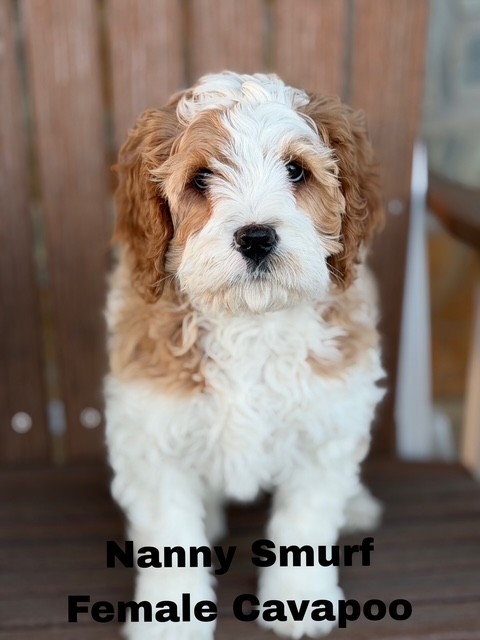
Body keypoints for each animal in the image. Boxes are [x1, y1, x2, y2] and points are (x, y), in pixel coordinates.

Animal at [105, 71, 385, 639]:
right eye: (201, 179)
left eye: (296, 170)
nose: (257, 237)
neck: (251, 321)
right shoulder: (151, 435)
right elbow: (169, 532)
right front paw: (171, 616)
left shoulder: (326, 425)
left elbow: (306, 520)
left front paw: (300, 598)